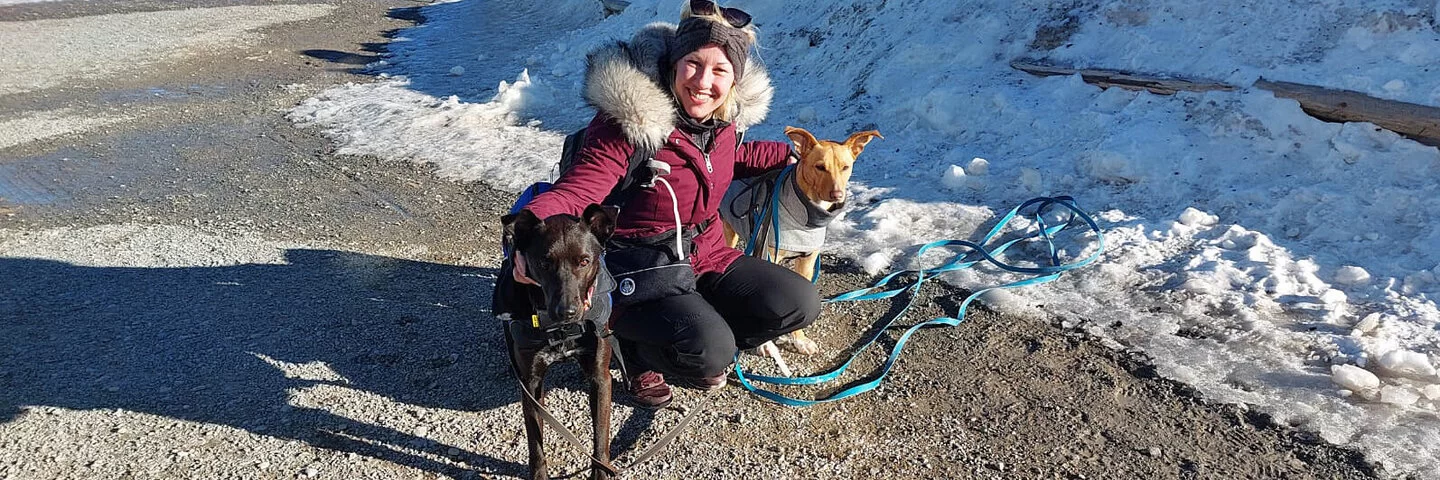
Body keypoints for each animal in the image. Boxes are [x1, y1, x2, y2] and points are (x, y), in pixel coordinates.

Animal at [495, 204, 619, 478]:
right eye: (544, 262)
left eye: (584, 261)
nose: (566, 311)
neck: (562, 330)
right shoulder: (531, 383)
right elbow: (535, 442)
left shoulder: (600, 378)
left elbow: (600, 438)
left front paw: (600, 472)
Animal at [720, 125, 875, 371]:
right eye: (820, 167)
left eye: (845, 167)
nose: (838, 195)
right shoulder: (767, 255)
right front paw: (765, 345)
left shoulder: (807, 262)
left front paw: (799, 340)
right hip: (728, 231)